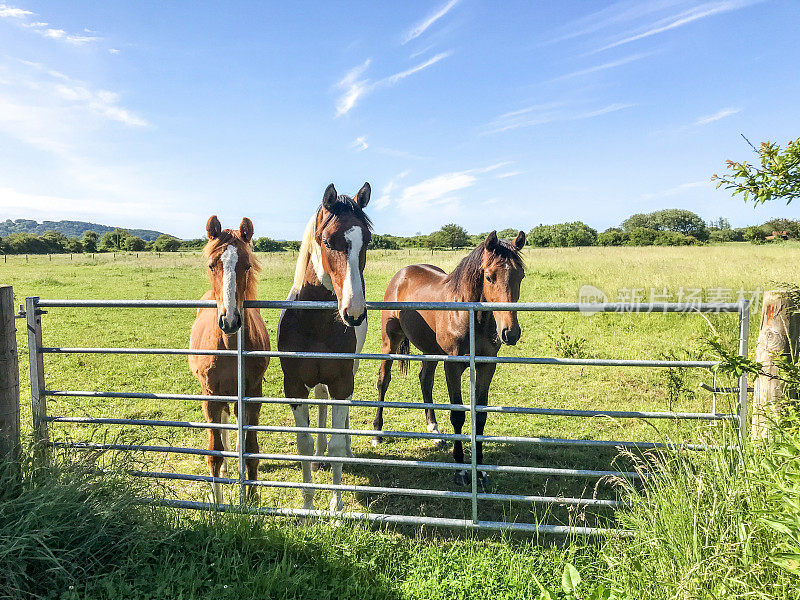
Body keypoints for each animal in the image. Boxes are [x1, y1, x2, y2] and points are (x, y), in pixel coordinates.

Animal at [189, 218, 270, 504]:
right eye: (212, 265)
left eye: (247, 265)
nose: (230, 321)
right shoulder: (210, 395)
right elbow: (214, 453)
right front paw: (218, 505)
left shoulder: (252, 394)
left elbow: (252, 449)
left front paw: (254, 503)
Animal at [278, 180, 372, 512]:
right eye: (329, 242)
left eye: (368, 241)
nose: (354, 312)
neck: (315, 324)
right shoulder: (294, 386)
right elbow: (304, 444)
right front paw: (307, 507)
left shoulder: (342, 383)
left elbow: (336, 442)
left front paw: (336, 507)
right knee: (320, 404)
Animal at [374, 230, 528, 488]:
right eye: (489, 277)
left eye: (521, 276)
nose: (510, 332)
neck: (470, 317)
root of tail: (402, 273)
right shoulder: (453, 366)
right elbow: (458, 415)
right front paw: (461, 470)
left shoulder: (487, 366)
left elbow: (480, 415)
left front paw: (480, 471)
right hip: (390, 342)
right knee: (383, 380)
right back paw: (377, 432)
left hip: (430, 350)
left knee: (425, 379)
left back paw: (434, 431)